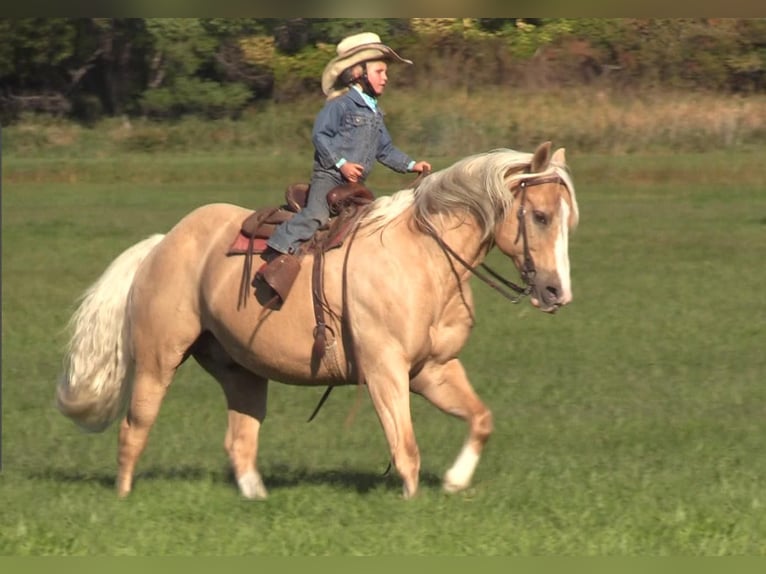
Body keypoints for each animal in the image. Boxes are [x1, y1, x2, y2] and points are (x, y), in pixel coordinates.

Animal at [57, 143, 580, 500]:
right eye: (538, 216)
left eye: (567, 221)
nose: (558, 293)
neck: (423, 258)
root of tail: (162, 244)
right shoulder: (385, 372)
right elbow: (405, 449)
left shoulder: (433, 370)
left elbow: (480, 420)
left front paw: (454, 481)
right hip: (157, 361)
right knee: (134, 428)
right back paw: (124, 496)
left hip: (241, 371)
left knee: (240, 441)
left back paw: (257, 498)